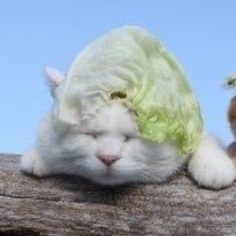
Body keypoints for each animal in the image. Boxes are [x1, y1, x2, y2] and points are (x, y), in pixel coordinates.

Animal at [20, 67, 236, 189]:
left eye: (129, 137)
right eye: (90, 135)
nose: (108, 158)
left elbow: (206, 142)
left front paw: (215, 167)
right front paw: (38, 155)